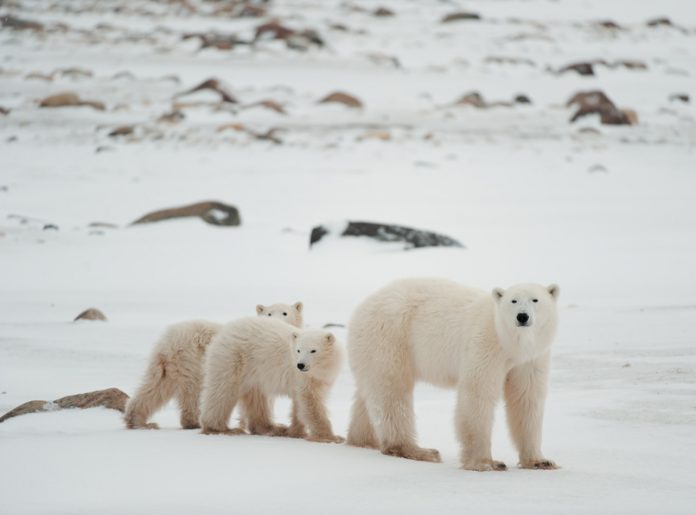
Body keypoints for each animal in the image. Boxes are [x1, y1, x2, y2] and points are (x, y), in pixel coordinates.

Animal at [123, 302, 304, 432]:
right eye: (269, 313)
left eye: (285, 313)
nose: (273, 320)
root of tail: (169, 341)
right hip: (193, 360)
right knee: (194, 390)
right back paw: (194, 422)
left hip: (168, 363)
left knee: (156, 386)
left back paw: (137, 420)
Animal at [198, 316, 346, 446]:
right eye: (298, 350)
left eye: (313, 350)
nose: (300, 365)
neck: (319, 369)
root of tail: (222, 332)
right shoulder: (301, 377)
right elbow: (311, 402)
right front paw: (331, 437)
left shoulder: (318, 378)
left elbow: (299, 404)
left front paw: (296, 432)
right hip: (233, 357)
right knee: (222, 390)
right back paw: (221, 429)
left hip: (254, 372)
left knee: (256, 398)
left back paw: (273, 428)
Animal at [346, 278, 560, 472]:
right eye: (513, 301)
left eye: (535, 300)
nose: (522, 317)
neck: (510, 344)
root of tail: (361, 308)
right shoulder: (485, 345)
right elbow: (478, 394)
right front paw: (486, 463)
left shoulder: (531, 359)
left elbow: (526, 399)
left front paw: (540, 461)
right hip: (390, 337)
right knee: (392, 393)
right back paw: (420, 450)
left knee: (370, 394)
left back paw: (363, 439)